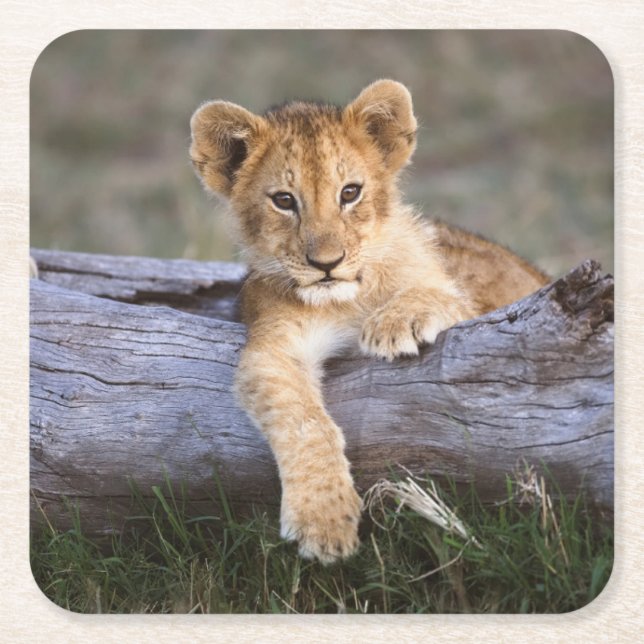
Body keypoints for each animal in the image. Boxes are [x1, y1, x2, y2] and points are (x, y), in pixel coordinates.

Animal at [190, 79, 549, 564]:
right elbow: (305, 422)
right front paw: (323, 521)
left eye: (350, 193)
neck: (347, 300)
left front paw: (396, 322)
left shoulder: (475, 308)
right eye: (284, 201)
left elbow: (438, 293)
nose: (327, 263)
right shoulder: (273, 346)